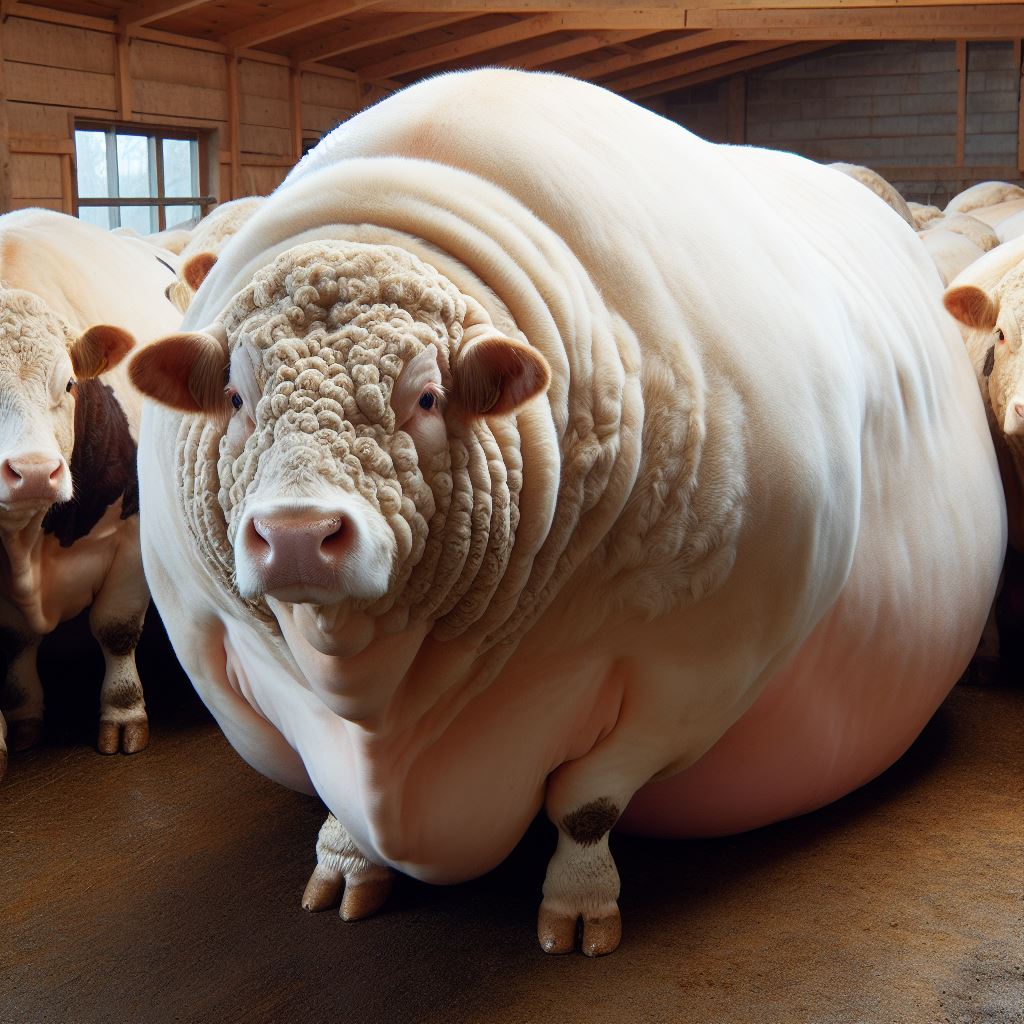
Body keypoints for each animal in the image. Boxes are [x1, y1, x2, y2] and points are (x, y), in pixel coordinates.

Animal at [0, 209, 182, 779]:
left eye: (68, 386)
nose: (35, 472)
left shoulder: (132, 538)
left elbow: (116, 628)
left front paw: (123, 715)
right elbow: (15, 640)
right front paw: (21, 719)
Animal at [128, 70, 1004, 956]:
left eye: (428, 397)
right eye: (234, 397)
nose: (299, 534)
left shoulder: (703, 663)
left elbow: (588, 804)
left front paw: (578, 907)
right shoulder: (223, 646)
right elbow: (332, 793)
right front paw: (345, 863)